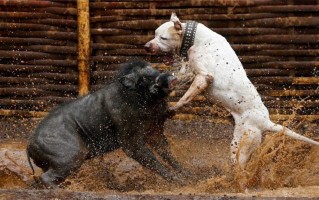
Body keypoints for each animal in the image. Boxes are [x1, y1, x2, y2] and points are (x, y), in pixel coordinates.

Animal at [27, 61, 185, 188]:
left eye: (155, 69)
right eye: (145, 77)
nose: (172, 78)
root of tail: (29, 145)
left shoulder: (154, 131)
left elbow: (166, 152)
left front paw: (188, 176)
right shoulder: (129, 141)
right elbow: (150, 158)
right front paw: (179, 182)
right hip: (71, 155)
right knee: (45, 178)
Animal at [146, 12, 319, 169]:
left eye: (163, 38)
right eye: (155, 34)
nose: (147, 46)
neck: (196, 39)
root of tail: (265, 121)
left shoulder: (204, 77)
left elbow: (185, 97)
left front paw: (172, 108)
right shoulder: (190, 72)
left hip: (245, 142)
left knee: (241, 168)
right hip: (240, 141)